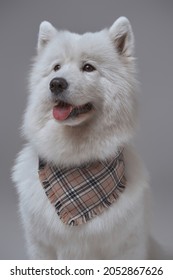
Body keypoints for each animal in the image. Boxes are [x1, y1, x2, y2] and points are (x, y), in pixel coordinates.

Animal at [11, 17, 150, 258]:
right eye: (56, 67)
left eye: (88, 67)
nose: (56, 83)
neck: (74, 160)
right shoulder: (41, 245)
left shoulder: (125, 246)